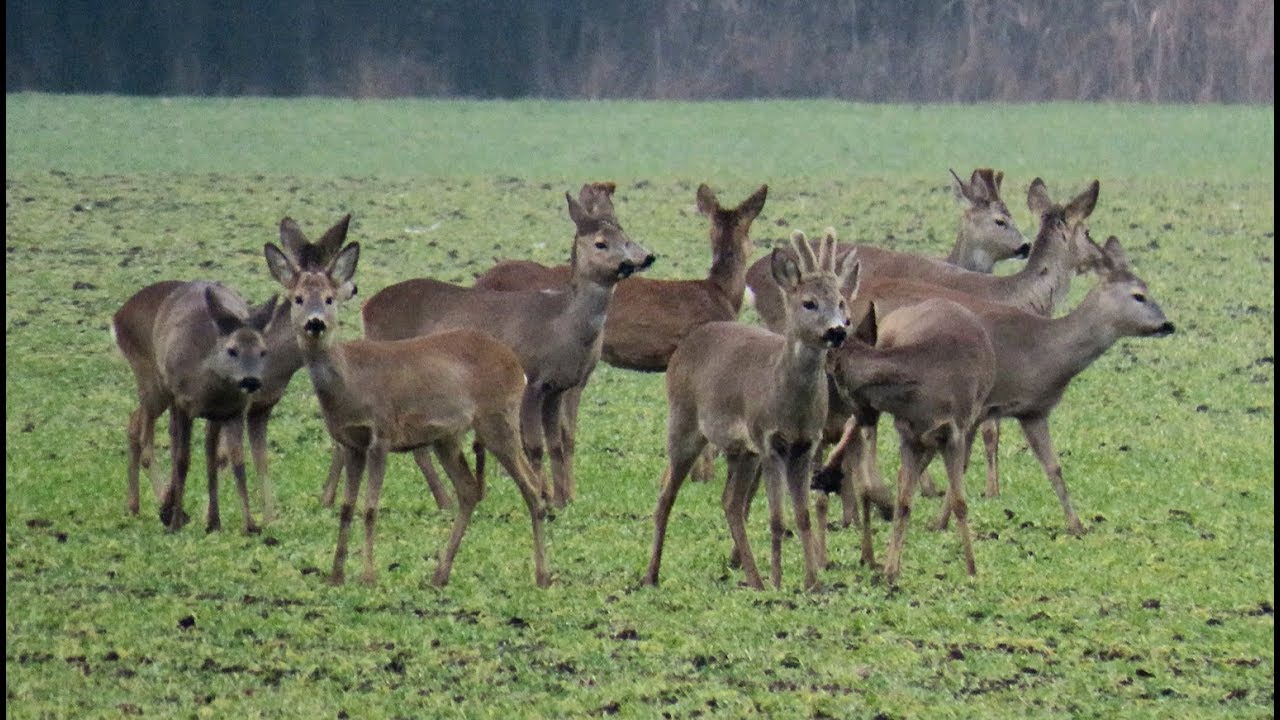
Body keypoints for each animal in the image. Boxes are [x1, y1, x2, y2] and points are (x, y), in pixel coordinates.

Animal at [112, 280, 277, 533]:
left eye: (263, 351)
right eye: (232, 350)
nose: (251, 381)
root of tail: (117, 316)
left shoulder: (233, 411)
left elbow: (237, 462)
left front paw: (249, 525)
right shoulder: (183, 403)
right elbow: (182, 460)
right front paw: (175, 523)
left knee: (205, 452)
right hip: (155, 385)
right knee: (148, 433)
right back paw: (158, 508)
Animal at [263, 234, 550, 587]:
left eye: (329, 299)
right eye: (298, 299)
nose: (314, 323)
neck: (350, 381)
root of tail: (515, 365)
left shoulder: (382, 433)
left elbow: (370, 507)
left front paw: (368, 576)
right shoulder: (351, 442)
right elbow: (346, 507)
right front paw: (336, 575)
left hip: (497, 418)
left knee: (530, 486)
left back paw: (542, 574)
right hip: (447, 436)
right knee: (469, 491)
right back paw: (440, 574)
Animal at [345, 191, 654, 509]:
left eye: (625, 236)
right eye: (600, 243)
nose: (641, 259)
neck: (562, 325)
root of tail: (367, 307)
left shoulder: (558, 387)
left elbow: (557, 443)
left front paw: (562, 500)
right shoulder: (532, 379)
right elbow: (534, 445)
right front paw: (543, 495)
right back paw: (446, 501)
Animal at [643, 229, 858, 591]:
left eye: (841, 302)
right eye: (809, 302)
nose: (837, 330)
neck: (788, 402)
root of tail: (688, 343)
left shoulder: (805, 444)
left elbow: (802, 516)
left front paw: (812, 582)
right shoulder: (768, 439)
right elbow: (776, 518)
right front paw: (778, 581)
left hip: (741, 450)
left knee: (730, 503)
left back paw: (753, 578)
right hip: (684, 422)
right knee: (665, 495)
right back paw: (651, 575)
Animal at [818, 233, 1173, 538]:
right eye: (1139, 296)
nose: (1167, 324)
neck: (1045, 349)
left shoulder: (1032, 411)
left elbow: (1054, 467)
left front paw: (1076, 524)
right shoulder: (978, 407)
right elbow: (961, 464)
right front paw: (939, 521)